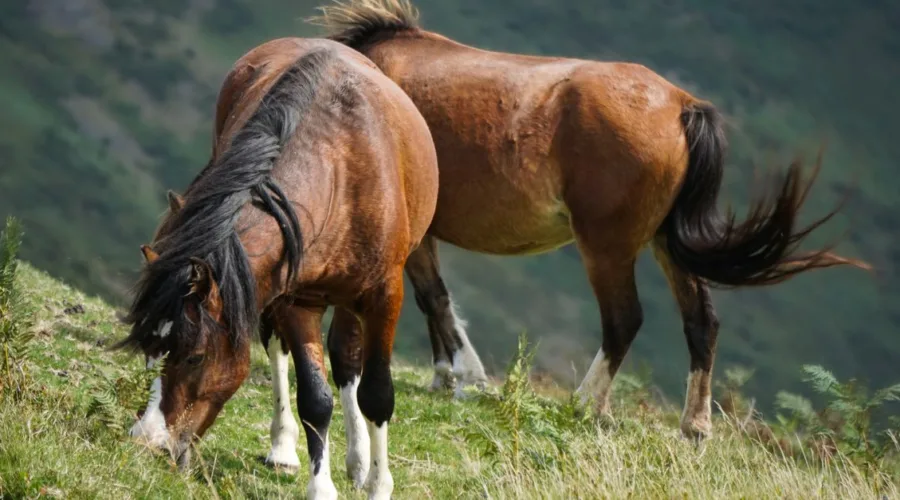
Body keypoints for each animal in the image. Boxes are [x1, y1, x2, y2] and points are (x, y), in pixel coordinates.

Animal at [116, 36, 439, 500]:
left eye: (195, 357)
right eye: (149, 348)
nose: (148, 441)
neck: (339, 172)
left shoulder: (384, 296)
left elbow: (376, 395)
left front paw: (379, 485)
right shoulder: (295, 298)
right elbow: (315, 399)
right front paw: (320, 487)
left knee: (348, 362)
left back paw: (360, 462)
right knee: (280, 350)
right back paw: (284, 448)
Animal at [307, 0, 870, 440]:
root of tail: (681, 106)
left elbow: (434, 298)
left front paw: (467, 377)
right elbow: (431, 300)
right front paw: (445, 375)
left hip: (607, 246)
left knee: (624, 319)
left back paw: (585, 405)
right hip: (665, 243)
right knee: (700, 321)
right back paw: (694, 426)